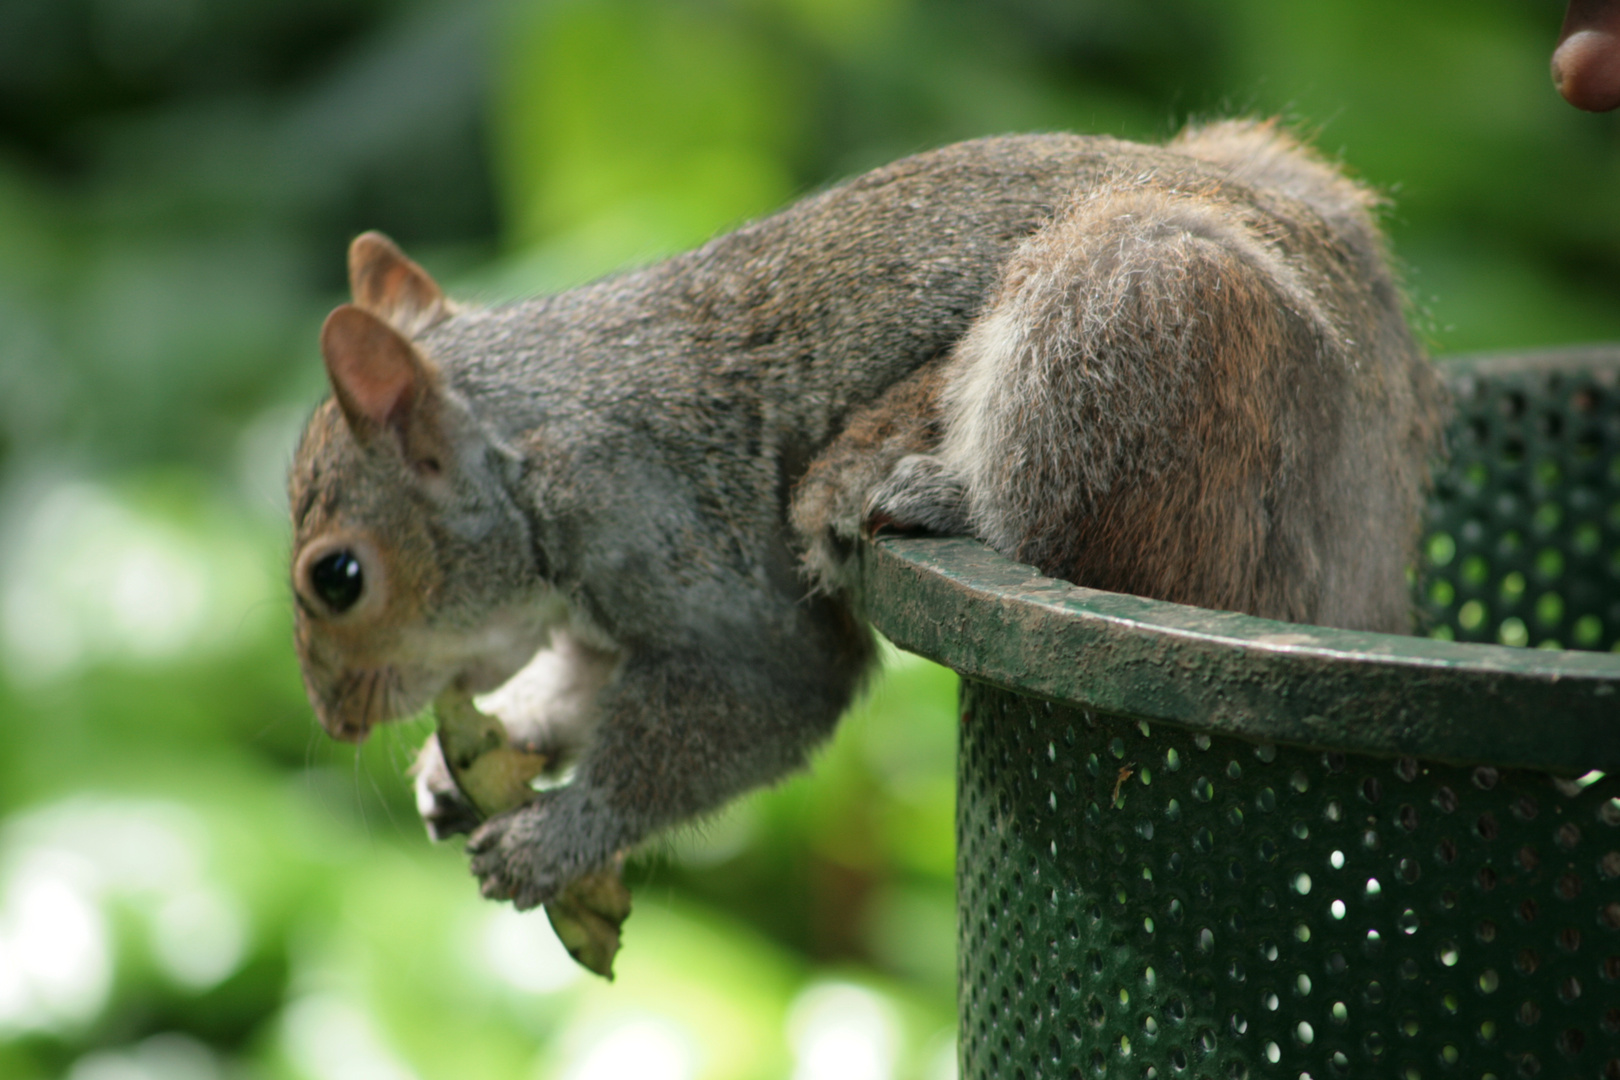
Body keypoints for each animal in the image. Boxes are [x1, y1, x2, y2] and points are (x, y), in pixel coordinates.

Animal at [288, 120, 1445, 913]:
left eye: (336, 577)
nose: (336, 722)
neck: (532, 443)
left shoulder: (674, 539)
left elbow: (764, 692)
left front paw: (559, 839)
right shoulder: (601, 619)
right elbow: (570, 685)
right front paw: (464, 762)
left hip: (1136, 305)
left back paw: (910, 491)